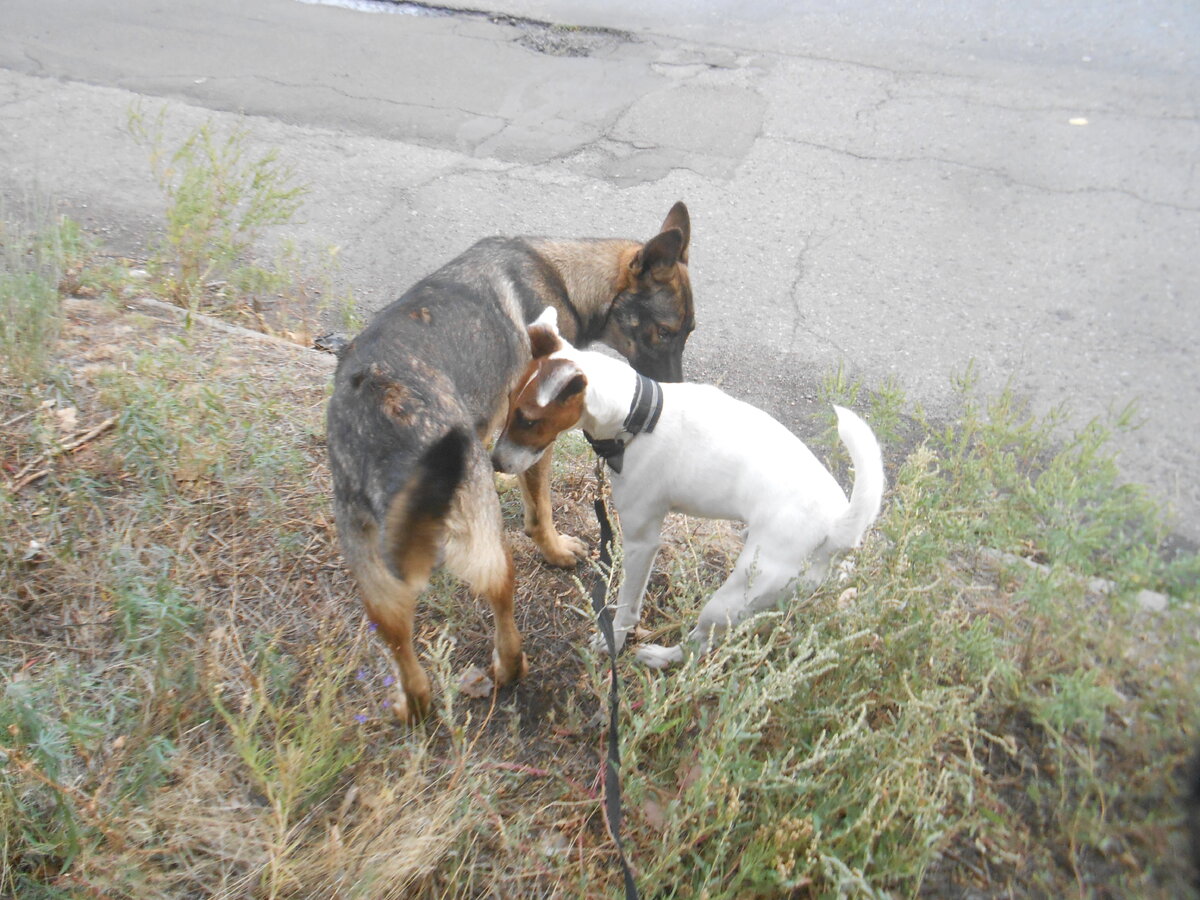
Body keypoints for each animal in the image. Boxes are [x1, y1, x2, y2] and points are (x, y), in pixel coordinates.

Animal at [326, 204, 694, 721]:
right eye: (663, 332)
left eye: (687, 333)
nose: (674, 397)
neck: (562, 277)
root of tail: (383, 412)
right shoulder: (535, 439)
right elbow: (539, 512)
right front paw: (555, 551)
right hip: (482, 542)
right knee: (500, 593)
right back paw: (510, 667)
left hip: (373, 571)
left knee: (397, 637)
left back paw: (414, 704)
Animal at [492, 308, 884, 666]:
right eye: (508, 407)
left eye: (528, 420)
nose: (495, 463)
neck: (637, 414)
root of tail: (837, 530)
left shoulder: (641, 543)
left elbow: (627, 605)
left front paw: (614, 639)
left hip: (730, 598)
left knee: (698, 646)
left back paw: (661, 657)